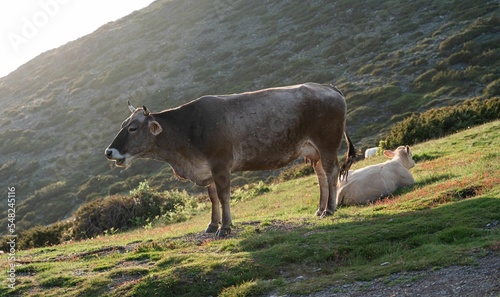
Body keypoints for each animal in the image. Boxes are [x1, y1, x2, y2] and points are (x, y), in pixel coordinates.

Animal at [105, 82, 356, 236]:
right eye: (123, 125)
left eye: (133, 128)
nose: (109, 151)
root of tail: (327, 87)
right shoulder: (206, 170)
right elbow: (213, 197)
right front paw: (212, 223)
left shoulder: (220, 165)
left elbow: (224, 195)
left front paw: (225, 227)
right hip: (312, 151)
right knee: (321, 175)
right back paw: (320, 209)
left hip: (327, 144)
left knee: (331, 172)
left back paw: (329, 209)